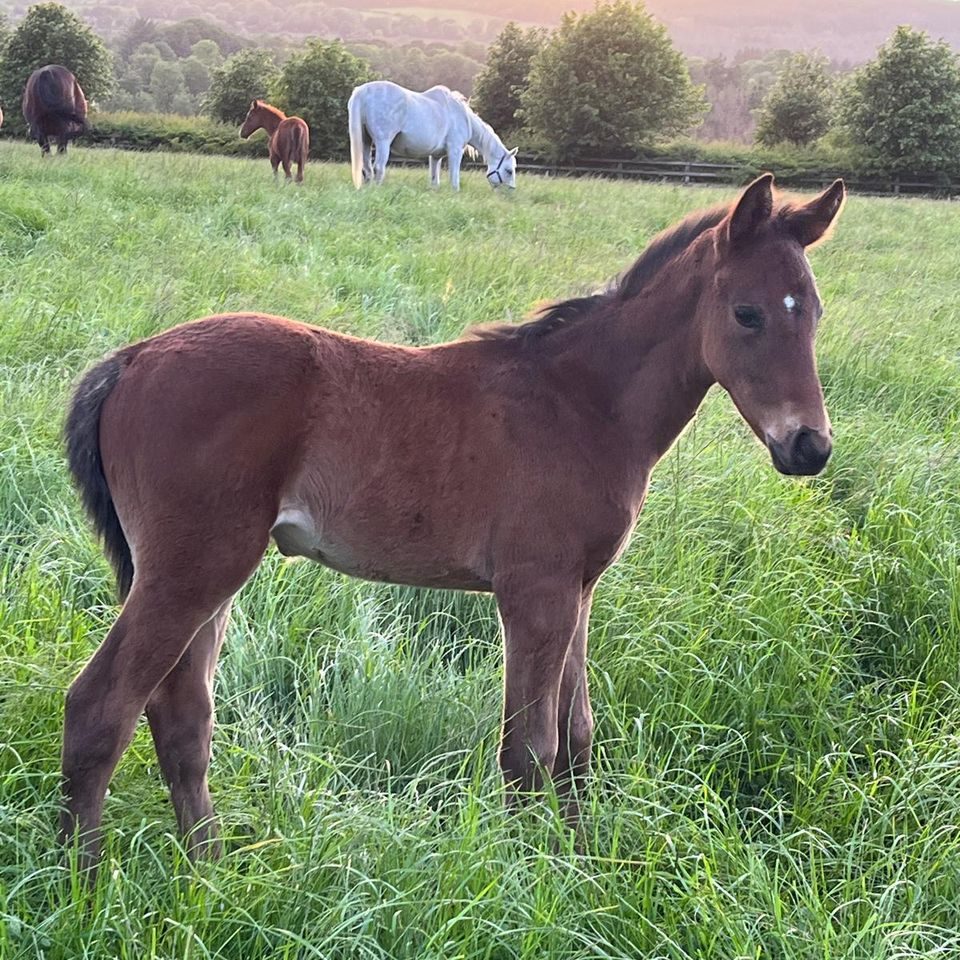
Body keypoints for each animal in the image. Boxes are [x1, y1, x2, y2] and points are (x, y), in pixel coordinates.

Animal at [62, 174, 844, 873]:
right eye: (747, 313)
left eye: (813, 311)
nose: (809, 446)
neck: (581, 403)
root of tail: (132, 358)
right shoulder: (535, 591)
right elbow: (530, 749)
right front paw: (530, 884)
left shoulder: (580, 589)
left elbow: (577, 738)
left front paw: (583, 867)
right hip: (191, 569)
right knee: (101, 707)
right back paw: (85, 885)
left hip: (210, 575)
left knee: (182, 715)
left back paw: (210, 873)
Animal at [348, 80, 518, 191]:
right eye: (509, 171)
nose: (510, 191)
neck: (462, 116)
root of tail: (362, 91)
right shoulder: (455, 151)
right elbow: (454, 178)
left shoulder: (436, 156)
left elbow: (434, 178)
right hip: (383, 142)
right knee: (378, 167)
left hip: (366, 141)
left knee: (367, 169)